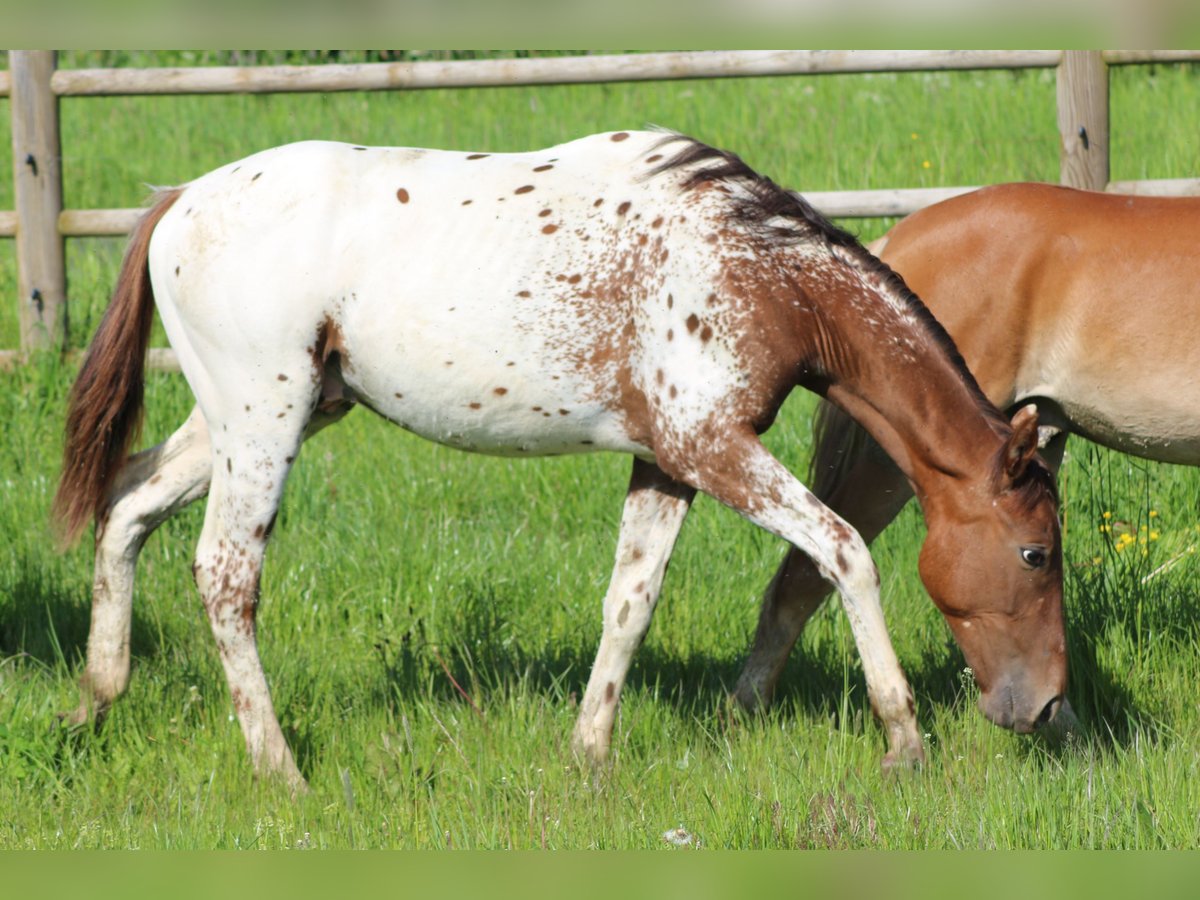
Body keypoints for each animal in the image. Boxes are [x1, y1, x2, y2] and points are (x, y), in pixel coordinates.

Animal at [54, 132, 1070, 787]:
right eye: (1036, 554)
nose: (1049, 709)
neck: (764, 272)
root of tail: (179, 201)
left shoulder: (668, 463)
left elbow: (629, 603)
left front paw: (589, 752)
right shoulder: (712, 448)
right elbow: (845, 551)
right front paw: (904, 741)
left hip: (249, 422)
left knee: (128, 504)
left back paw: (94, 699)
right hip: (264, 424)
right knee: (225, 574)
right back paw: (280, 769)